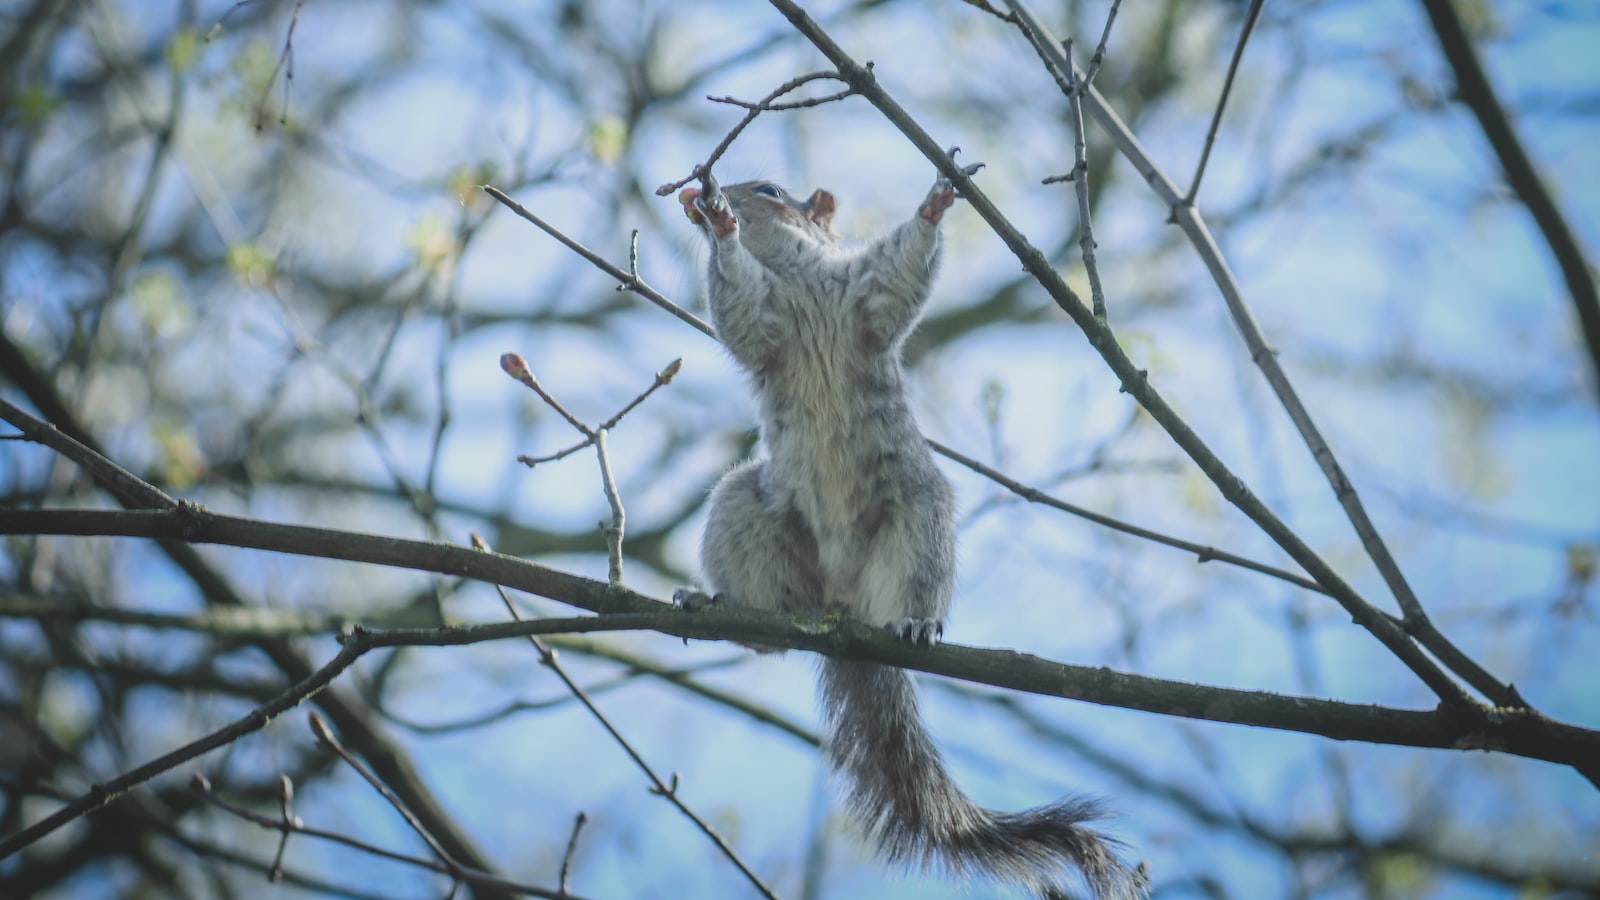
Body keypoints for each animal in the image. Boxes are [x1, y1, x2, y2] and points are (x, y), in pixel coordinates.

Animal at [668, 153, 1145, 896]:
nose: (703, 196)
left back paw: (915, 624)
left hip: (918, 520)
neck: (798, 278)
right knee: (771, 630)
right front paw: (720, 229)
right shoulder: (765, 322)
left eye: (771, 192)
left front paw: (936, 201)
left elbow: (900, 273)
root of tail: (841, 609)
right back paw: (720, 604)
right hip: (744, 511)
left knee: (906, 587)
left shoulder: (865, 297)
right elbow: (738, 307)